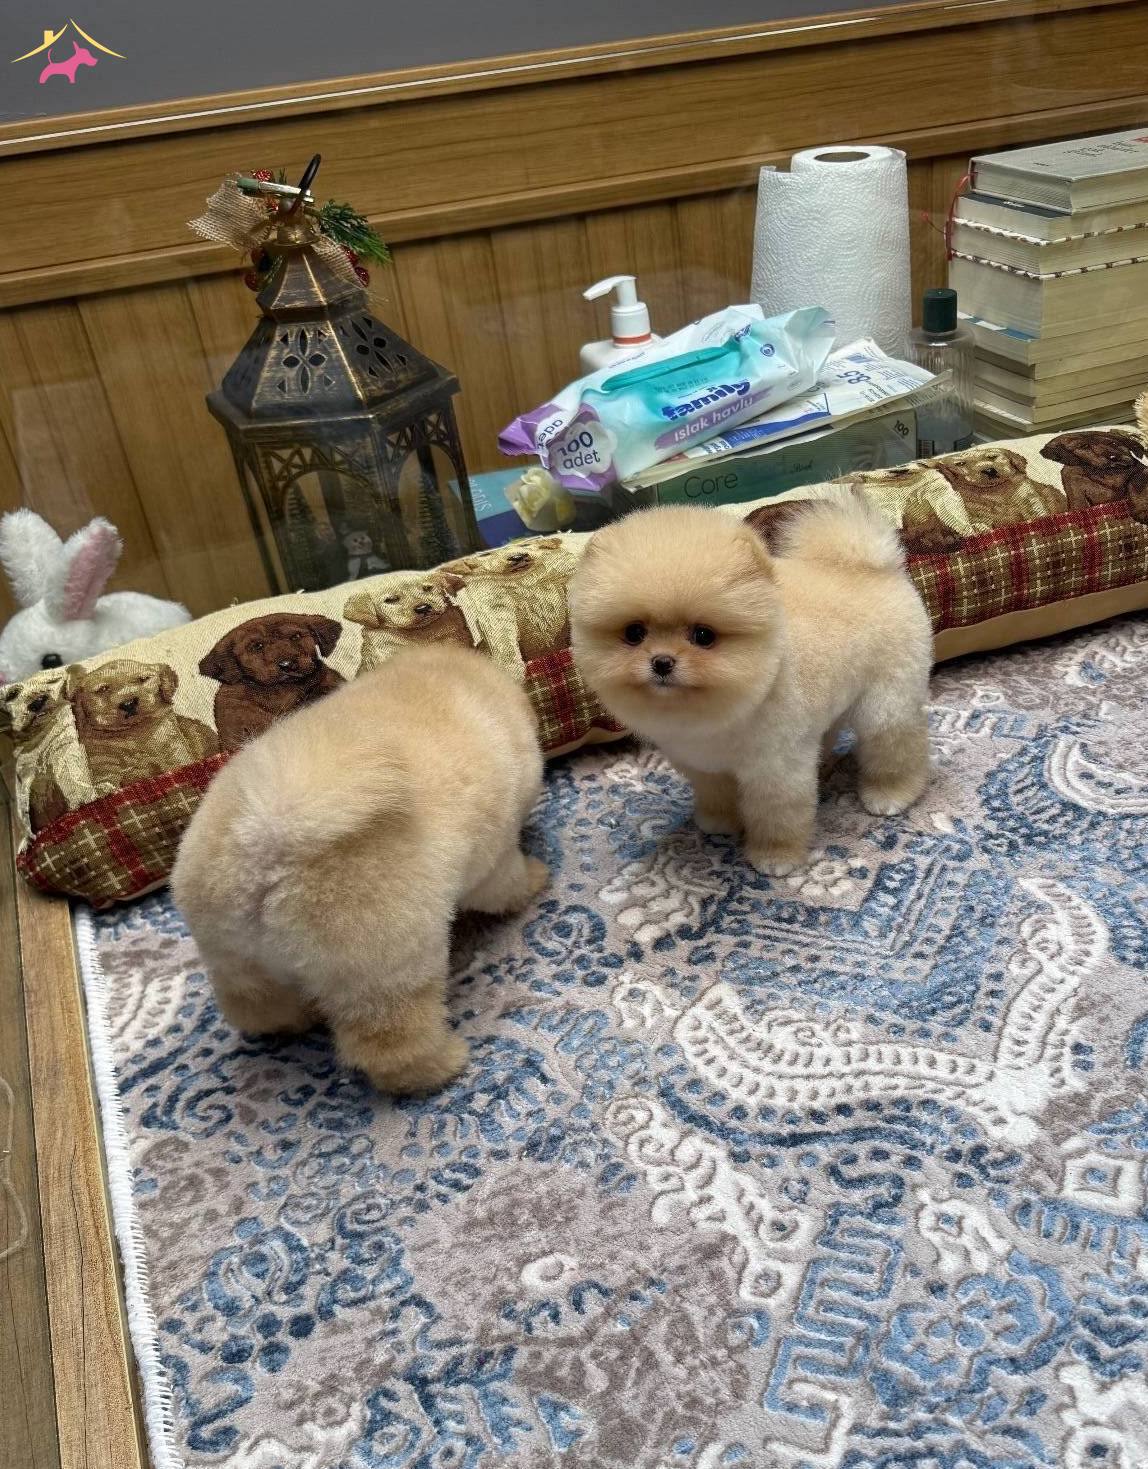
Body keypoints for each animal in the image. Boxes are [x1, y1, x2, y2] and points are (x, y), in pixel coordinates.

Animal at [67, 659, 218, 792]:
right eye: (103, 689)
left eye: (144, 679)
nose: (128, 703)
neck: (132, 734)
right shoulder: (105, 769)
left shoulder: (175, 754)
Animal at [171, 645, 549, 1095]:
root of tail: (261, 845)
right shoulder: (496, 855)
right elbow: (507, 885)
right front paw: (536, 878)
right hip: (385, 966)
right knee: (393, 1046)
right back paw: (444, 1065)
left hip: (236, 962)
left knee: (255, 1007)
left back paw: (293, 1022)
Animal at [447, 537, 577, 674]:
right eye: (485, 555)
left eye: (526, 544)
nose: (517, 557)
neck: (523, 580)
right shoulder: (495, 609)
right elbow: (502, 640)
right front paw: (510, 670)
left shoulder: (565, 580)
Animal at [571, 502, 933, 876]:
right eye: (634, 633)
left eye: (703, 636)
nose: (662, 662)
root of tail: (874, 567)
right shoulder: (705, 765)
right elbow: (716, 794)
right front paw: (719, 822)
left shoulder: (774, 771)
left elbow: (777, 816)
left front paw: (775, 857)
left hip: (886, 703)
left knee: (898, 745)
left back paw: (892, 793)